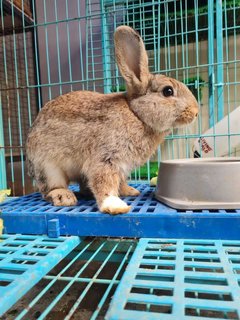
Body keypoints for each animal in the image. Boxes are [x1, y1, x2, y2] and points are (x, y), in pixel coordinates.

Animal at [25, 25, 199, 215]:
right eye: (168, 91)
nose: (196, 112)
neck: (136, 115)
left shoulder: (121, 167)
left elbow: (118, 181)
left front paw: (128, 190)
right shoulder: (105, 158)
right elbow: (104, 182)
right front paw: (115, 206)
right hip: (48, 168)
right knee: (50, 187)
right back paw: (64, 196)